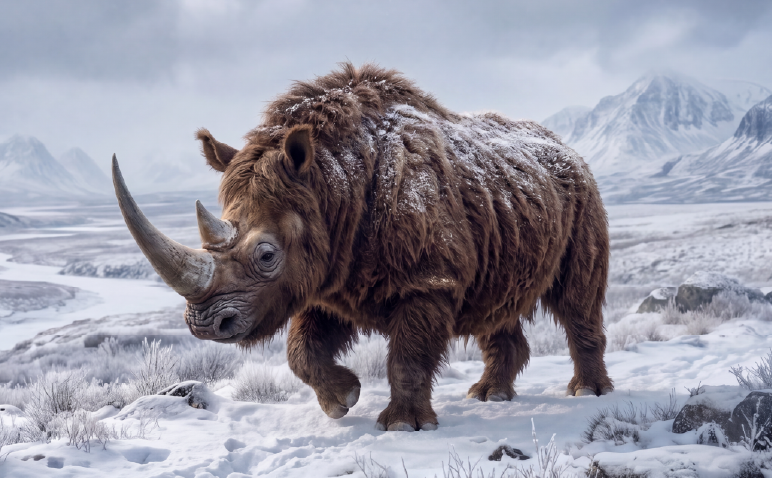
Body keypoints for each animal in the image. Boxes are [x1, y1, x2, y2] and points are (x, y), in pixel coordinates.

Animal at [113, 63, 612, 431]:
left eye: (267, 255)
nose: (203, 324)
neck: (330, 182)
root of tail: (564, 146)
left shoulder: (427, 278)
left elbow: (408, 356)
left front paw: (403, 426)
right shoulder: (329, 275)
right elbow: (301, 350)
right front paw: (342, 399)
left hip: (582, 190)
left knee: (577, 297)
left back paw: (586, 393)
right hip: (509, 206)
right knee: (496, 297)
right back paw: (490, 396)